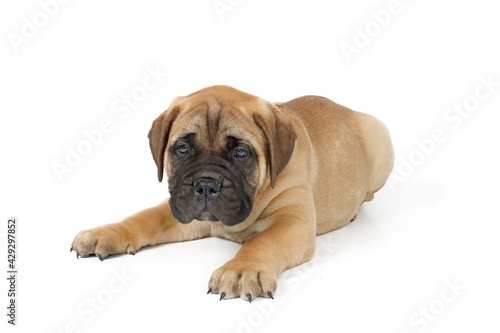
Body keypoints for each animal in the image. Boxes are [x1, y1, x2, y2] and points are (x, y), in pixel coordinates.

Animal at [72, 84, 396, 300]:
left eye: (241, 153)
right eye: (182, 148)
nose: (205, 185)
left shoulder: (293, 221)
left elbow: (263, 240)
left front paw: (242, 270)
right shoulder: (182, 209)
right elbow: (144, 218)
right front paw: (106, 233)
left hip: (382, 140)